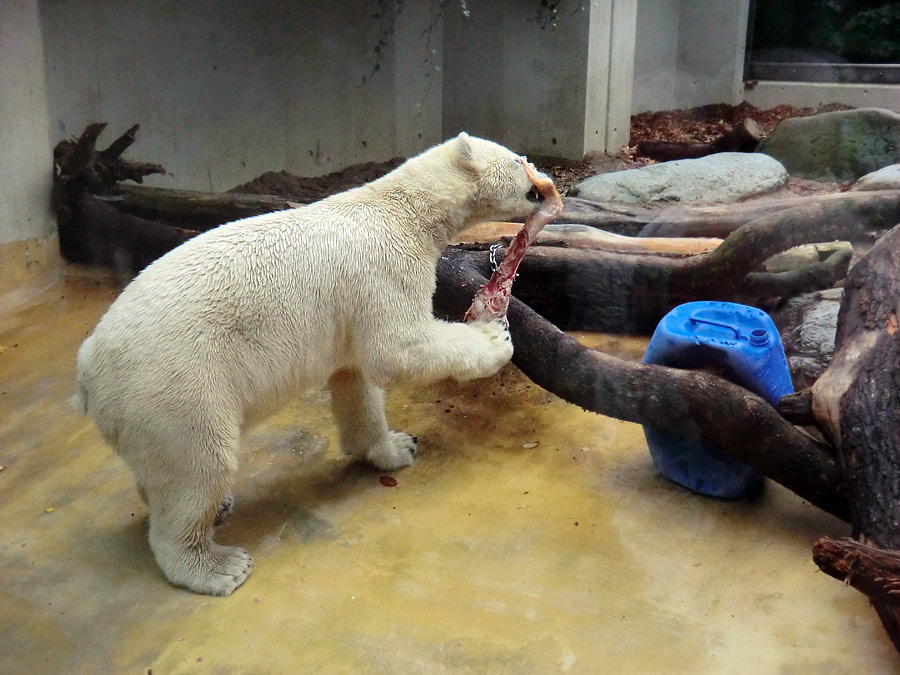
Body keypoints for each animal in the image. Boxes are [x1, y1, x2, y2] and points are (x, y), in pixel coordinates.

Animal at [74, 132, 544, 596]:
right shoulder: (383, 269)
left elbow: (356, 379)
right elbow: (398, 348)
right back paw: (217, 565)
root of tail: (87, 372)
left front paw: (396, 446)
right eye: (518, 160)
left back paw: (214, 507)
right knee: (200, 462)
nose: (542, 185)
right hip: (175, 384)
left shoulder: (350, 310)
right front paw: (494, 340)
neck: (403, 210)